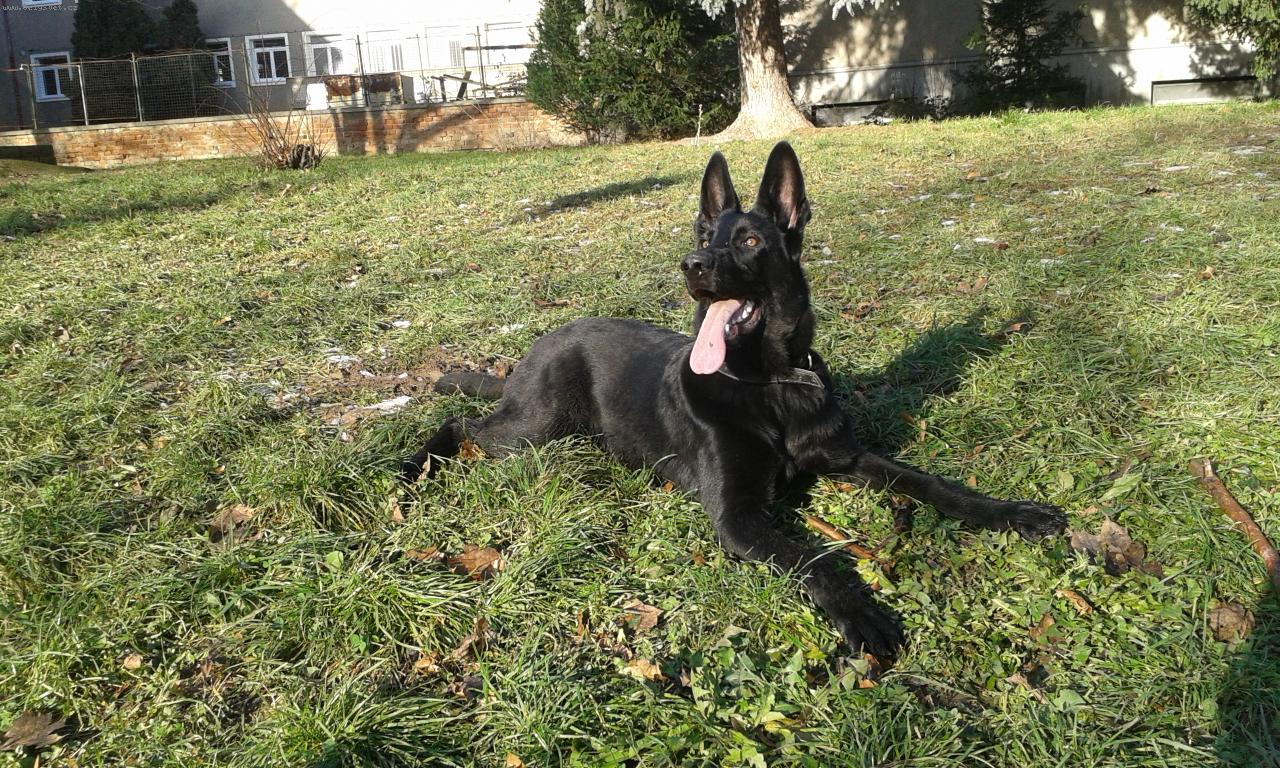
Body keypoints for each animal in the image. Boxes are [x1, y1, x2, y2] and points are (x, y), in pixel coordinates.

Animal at [401, 142, 1067, 656]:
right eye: (703, 236)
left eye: (748, 240)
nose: (692, 264)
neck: (768, 384)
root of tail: (532, 351)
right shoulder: (738, 514)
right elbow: (813, 558)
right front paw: (861, 613)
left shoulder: (850, 458)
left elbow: (933, 484)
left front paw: (1013, 513)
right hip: (533, 430)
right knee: (461, 424)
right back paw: (410, 469)